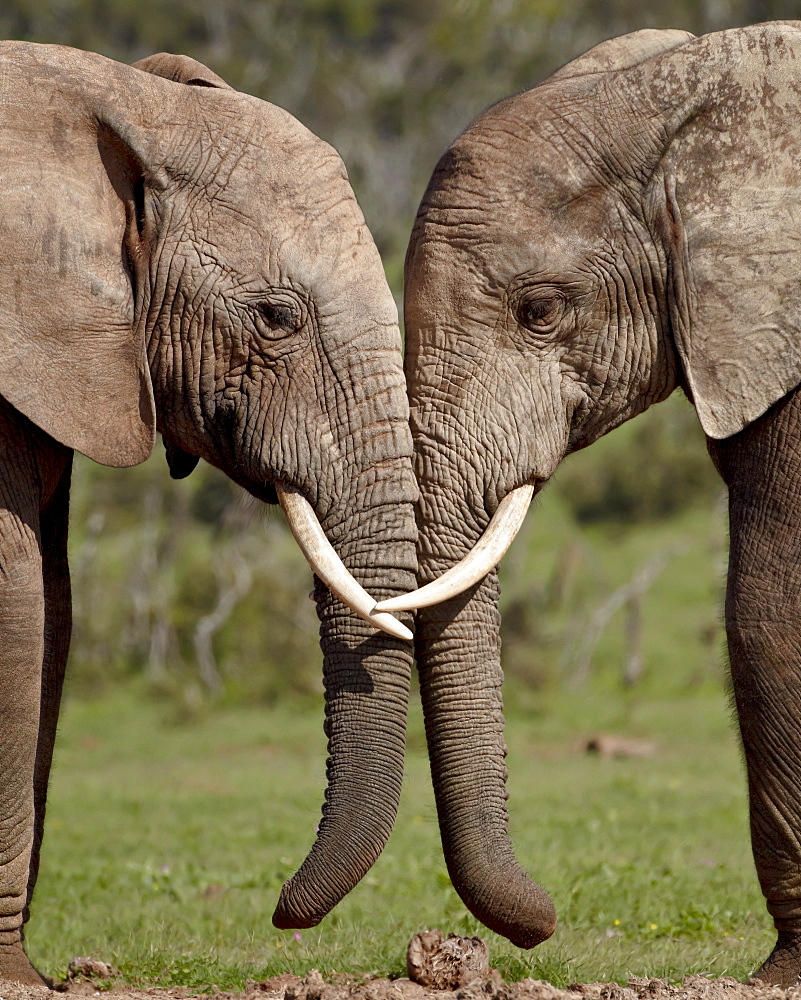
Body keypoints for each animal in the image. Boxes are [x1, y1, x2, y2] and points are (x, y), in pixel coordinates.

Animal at [0, 43, 418, 988]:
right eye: (277, 316)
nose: (282, 915)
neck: (120, 99)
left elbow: (53, 606)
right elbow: (13, 605)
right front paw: (15, 983)